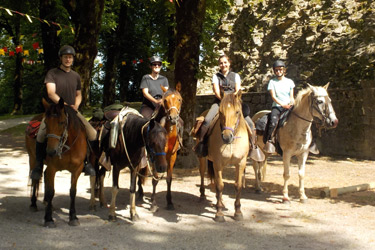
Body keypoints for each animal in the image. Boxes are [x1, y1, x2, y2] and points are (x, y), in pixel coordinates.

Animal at [40, 98, 88, 228]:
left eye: (61, 122)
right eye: (46, 123)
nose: (50, 151)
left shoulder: (77, 169)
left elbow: (73, 191)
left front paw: (73, 217)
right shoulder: (52, 168)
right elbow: (51, 191)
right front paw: (49, 219)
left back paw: (46, 202)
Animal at [138, 83, 185, 212]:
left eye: (179, 99)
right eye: (165, 100)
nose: (173, 118)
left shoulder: (172, 156)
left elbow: (169, 179)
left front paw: (169, 202)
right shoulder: (155, 156)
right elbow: (155, 178)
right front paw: (153, 204)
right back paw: (140, 194)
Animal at [198, 92, 251, 223]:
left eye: (237, 112)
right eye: (221, 112)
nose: (227, 137)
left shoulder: (241, 163)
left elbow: (237, 185)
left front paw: (238, 212)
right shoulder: (218, 163)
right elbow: (220, 186)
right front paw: (219, 214)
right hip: (203, 159)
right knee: (202, 173)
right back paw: (202, 195)